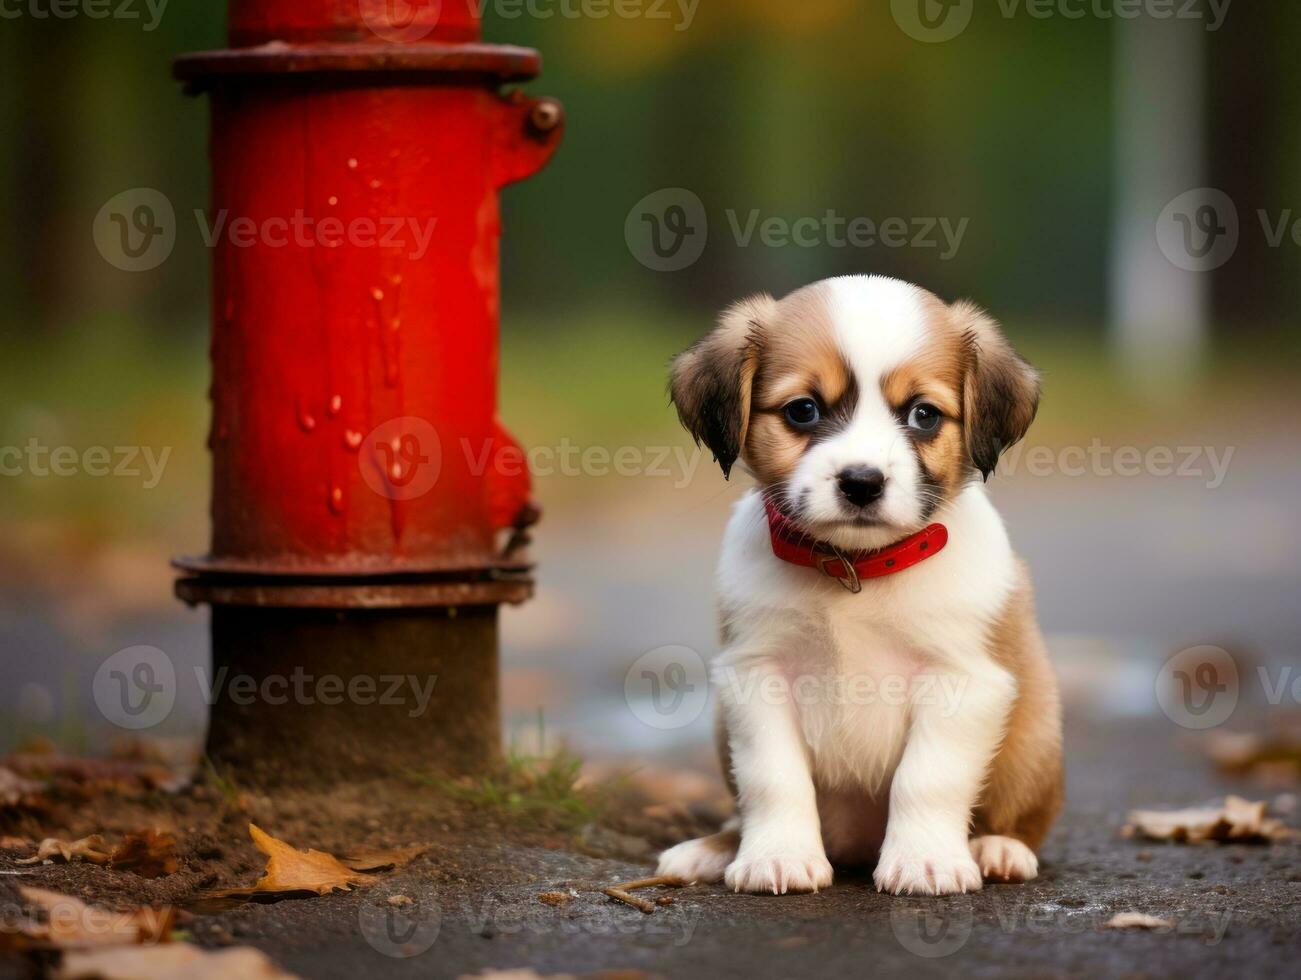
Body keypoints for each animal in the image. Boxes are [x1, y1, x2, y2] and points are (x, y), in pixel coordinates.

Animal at [655, 275, 1061, 895]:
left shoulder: (963, 680)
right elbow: (773, 778)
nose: (862, 482)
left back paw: (997, 847)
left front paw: (925, 859)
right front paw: (777, 854)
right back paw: (713, 850)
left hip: (1034, 738)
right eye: (803, 410)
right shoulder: (756, 675)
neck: (856, 570)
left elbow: (927, 778)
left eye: (923, 415)